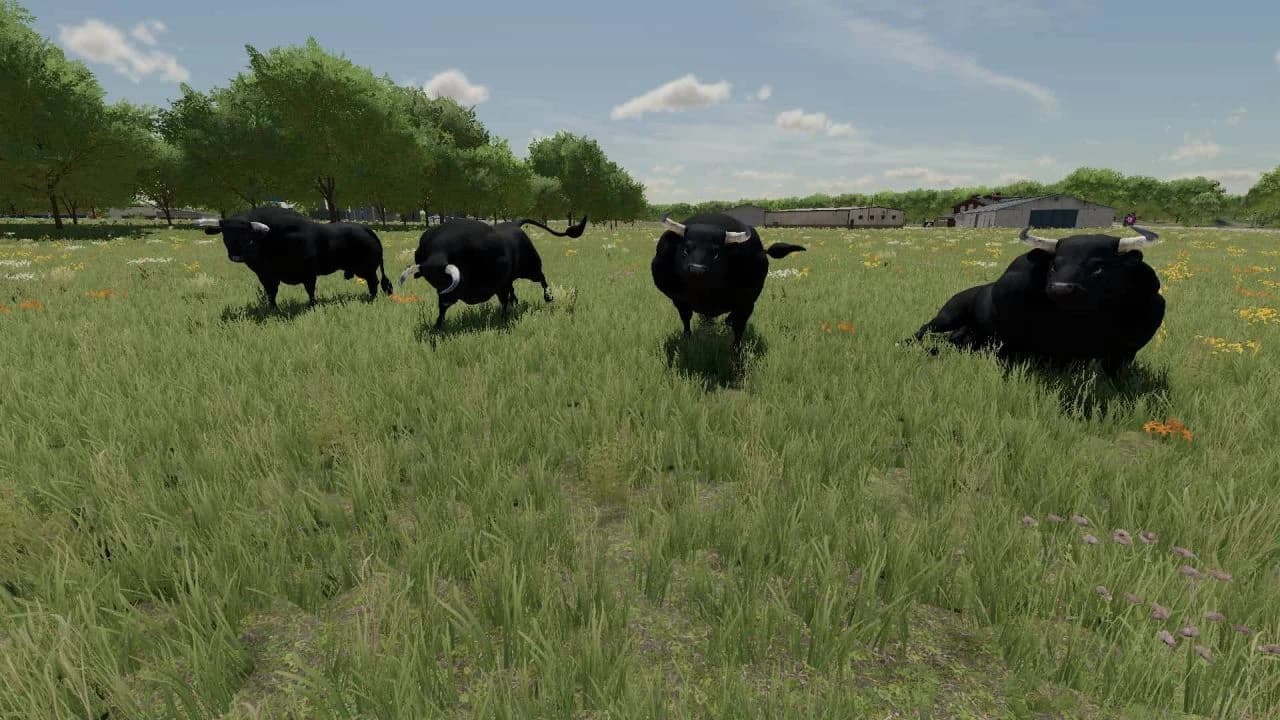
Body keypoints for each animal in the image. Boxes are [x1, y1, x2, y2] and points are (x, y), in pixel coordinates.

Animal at [196, 205, 394, 308]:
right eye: (225, 236)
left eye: (248, 237)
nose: (236, 256)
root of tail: (366, 229)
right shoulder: (267, 276)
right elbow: (271, 293)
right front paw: (273, 309)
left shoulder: (308, 273)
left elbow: (310, 290)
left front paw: (312, 305)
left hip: (367, 268)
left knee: (374, 282)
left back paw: (371, 299)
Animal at [398, 216, 587, 329]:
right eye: (432, 281)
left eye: (445, 278)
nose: (446, 299)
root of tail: (514, 223)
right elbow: (441, 312)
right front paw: (437, 326)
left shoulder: (500, 282)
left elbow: (503, 301)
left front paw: (503, 321)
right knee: (514, 288)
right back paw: (516, 302)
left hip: (531, 268)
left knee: (541, 277)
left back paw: (548, 297)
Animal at [651, 213, 806, 351]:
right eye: (686, 249)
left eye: (716, 253)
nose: (697, 270)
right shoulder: (679, 300)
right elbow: (686, 320)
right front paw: (687, 339)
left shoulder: (747, 303)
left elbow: (738, 328)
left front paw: (736, 351)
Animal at [907, 226, 1165, 375]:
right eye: (1054, 265)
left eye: (1098, 267)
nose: (1061, 288)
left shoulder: (1125, 352)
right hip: (947, 316)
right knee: (924, 329)